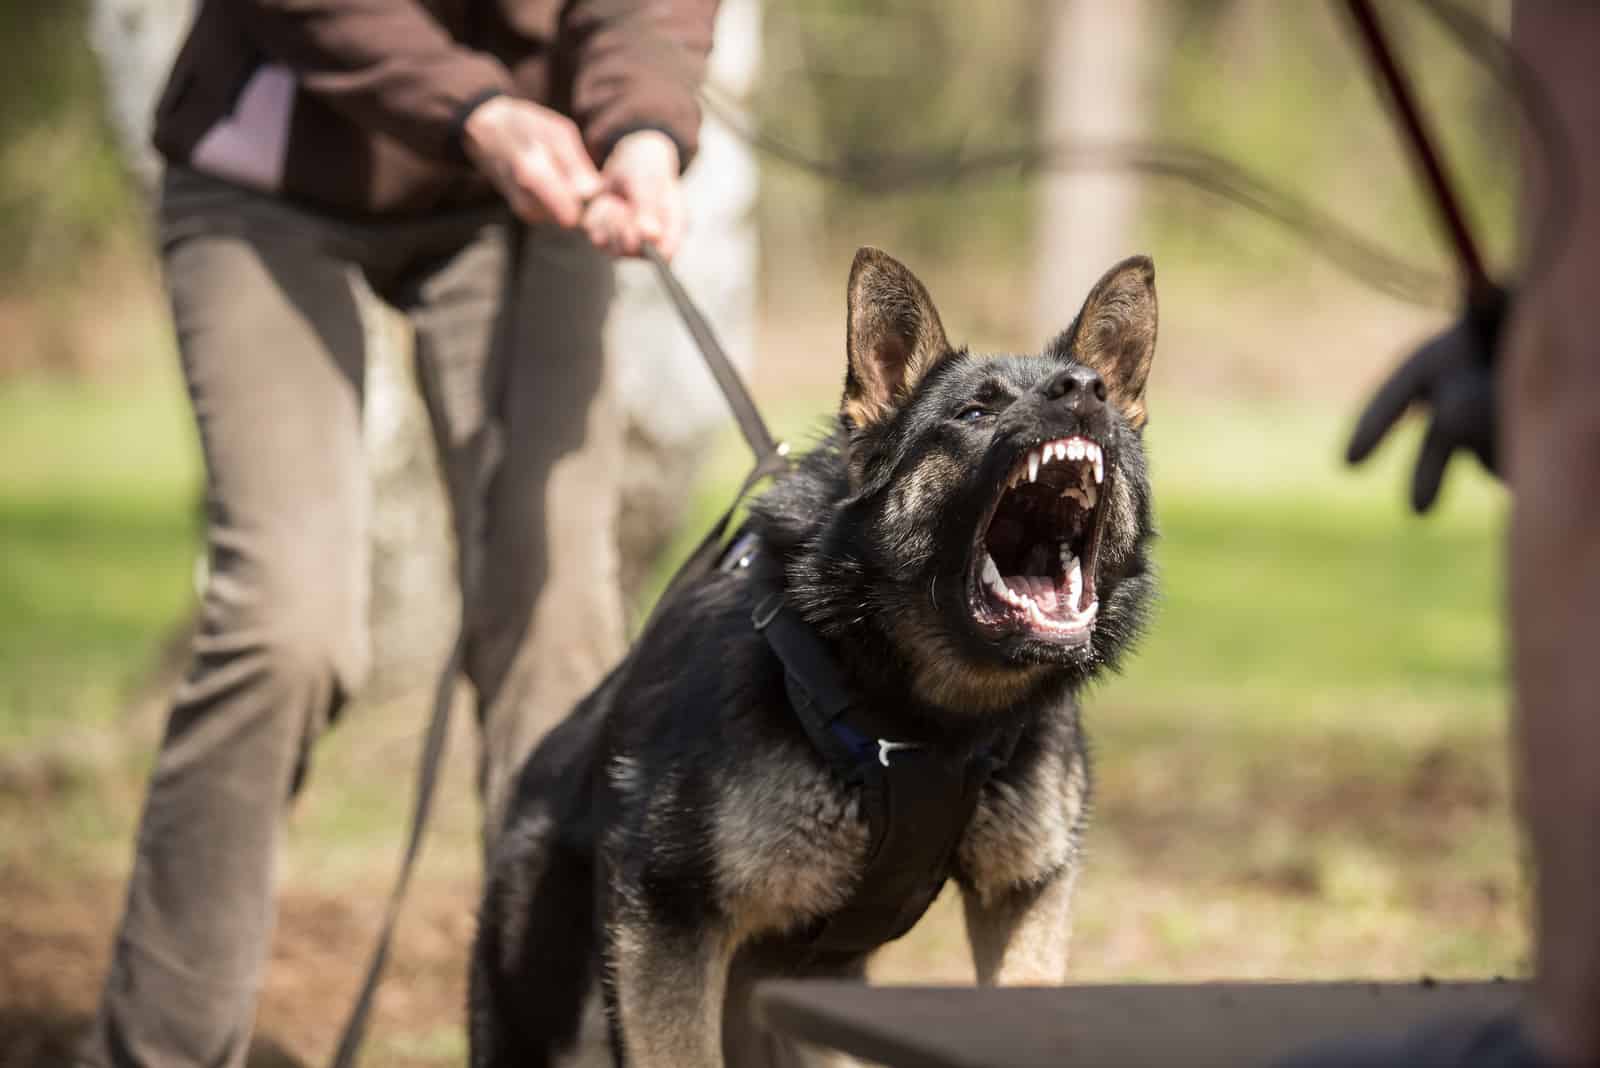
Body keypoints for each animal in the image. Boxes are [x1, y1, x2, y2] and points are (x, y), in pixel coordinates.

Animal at [467, 246, 1158, 1061]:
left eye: (1101, 397)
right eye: (975, 413)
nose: (1085, 392)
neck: (932, 720)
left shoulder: (1020, 895)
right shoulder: (665, 922)